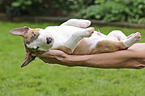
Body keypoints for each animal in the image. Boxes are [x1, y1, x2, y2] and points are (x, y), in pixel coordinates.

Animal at [9, 18, 140, 67]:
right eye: (36, 48)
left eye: (34, 35)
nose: (48, 40)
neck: (56, 37)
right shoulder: (68, 48)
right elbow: (75, 34)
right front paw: (86, 31)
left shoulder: (60, 26)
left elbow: (68, 21)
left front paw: (85, 22)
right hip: (103, 44)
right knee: (122, 44)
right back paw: (133, 38)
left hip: (113, 32)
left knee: (119, 34)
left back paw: (129, 35)